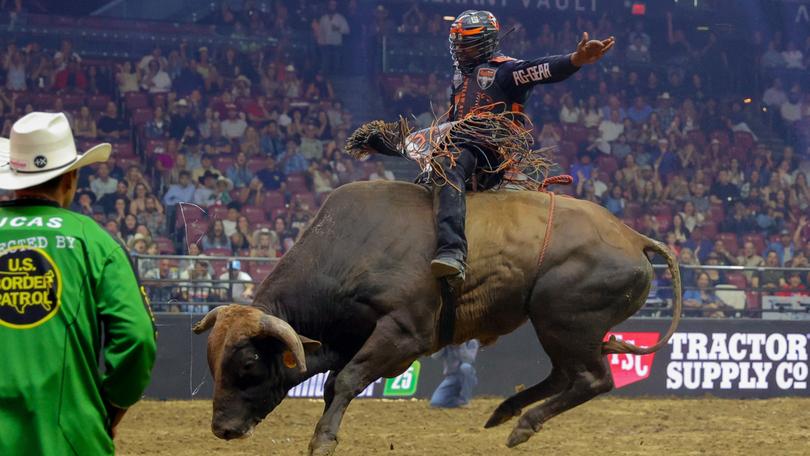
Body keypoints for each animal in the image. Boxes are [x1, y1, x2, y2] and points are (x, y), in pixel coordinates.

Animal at [193, 180, 680, 454]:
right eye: (211, 363)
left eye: (249, 363)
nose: (222, 429)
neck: (351, 248)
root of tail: (634, 237)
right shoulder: (348, 338)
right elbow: (334, 382)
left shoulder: (404, 334)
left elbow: (348, 380)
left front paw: (322, 440)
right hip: (559, 326)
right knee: (566, 375)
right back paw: (504, 412)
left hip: (566, 321)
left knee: (593, 378)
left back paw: (523, 424)